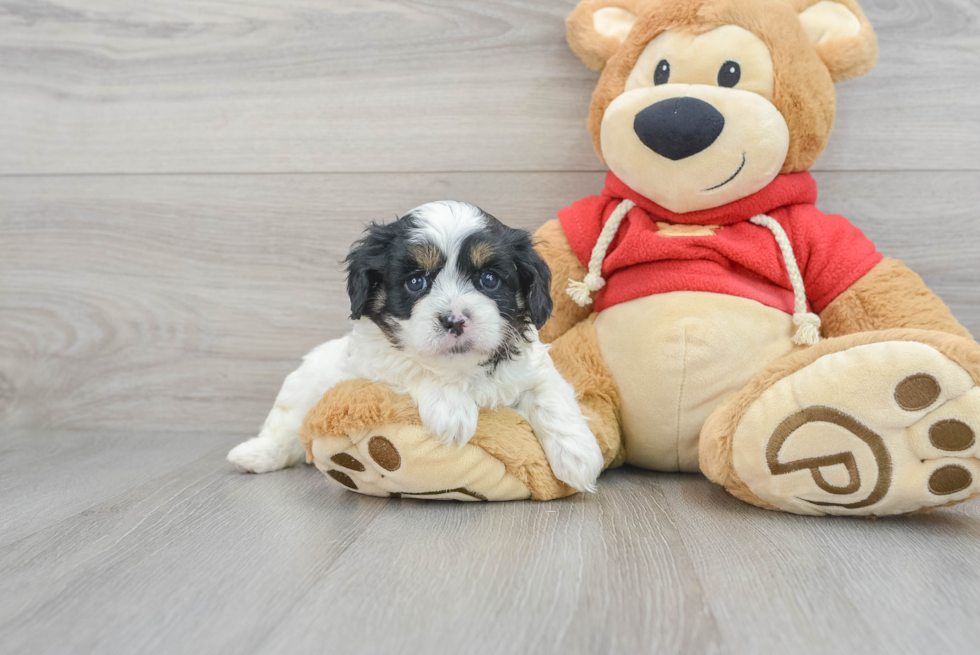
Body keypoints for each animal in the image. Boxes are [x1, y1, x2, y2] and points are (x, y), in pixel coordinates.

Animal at [227, 200, 604, 492]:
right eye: (416, 281)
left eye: (489, 279)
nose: (454, 320)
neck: (461, 368)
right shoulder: (374, 358)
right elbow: (413, 364)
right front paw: (452, 410)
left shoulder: (532, 368)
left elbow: (551, 396)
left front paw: (579, 456)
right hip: (306, 383)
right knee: (286, 427)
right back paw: (254, 455)